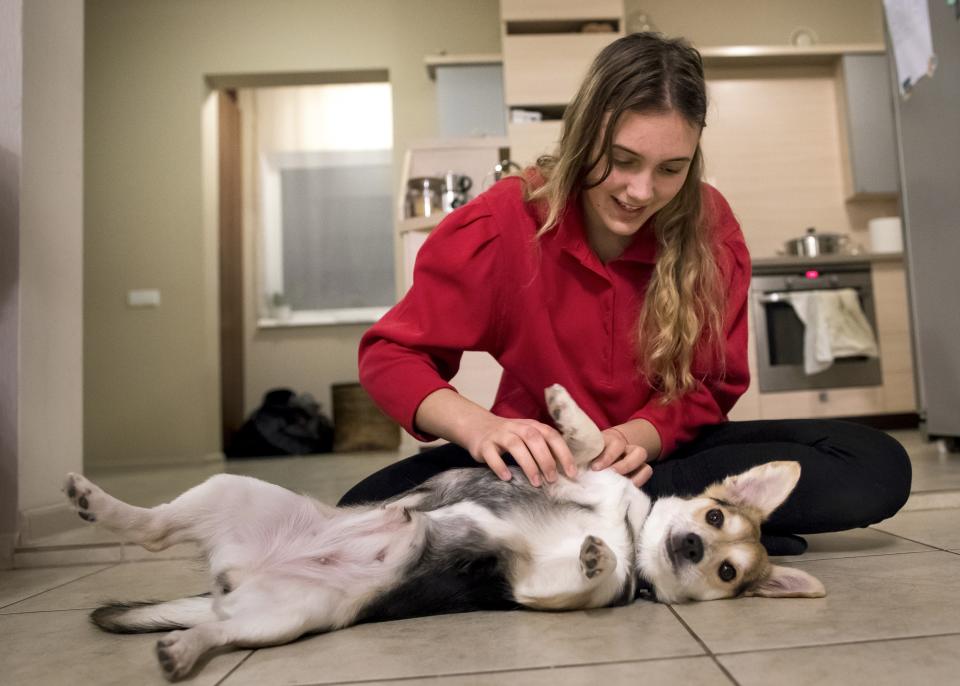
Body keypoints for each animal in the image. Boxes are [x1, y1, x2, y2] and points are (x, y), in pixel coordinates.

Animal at [63, 388, 820, 684]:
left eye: (727, 573)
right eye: (715, 519)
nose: (692, 548)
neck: (634, 535)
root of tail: (237, 576)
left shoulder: (530, 586)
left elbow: (587, 576)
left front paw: (594, 555)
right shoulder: (580, 475)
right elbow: (586, 441)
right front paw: (564, 413)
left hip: (287, 614)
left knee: (217, 623)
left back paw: (182, 647)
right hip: (232, 492)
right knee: (153, 527)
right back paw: (96, 503)